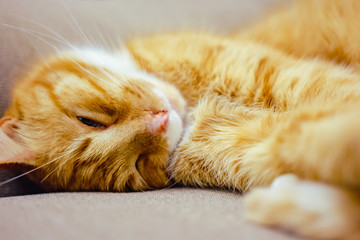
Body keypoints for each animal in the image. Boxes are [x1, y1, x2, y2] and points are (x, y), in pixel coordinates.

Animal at [0, 0, 360, 239]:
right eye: (138, 165)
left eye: (90, 120)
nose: (159, 119)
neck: (192, 107)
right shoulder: (256, 142)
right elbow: (312, 139)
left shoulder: (292, 78)